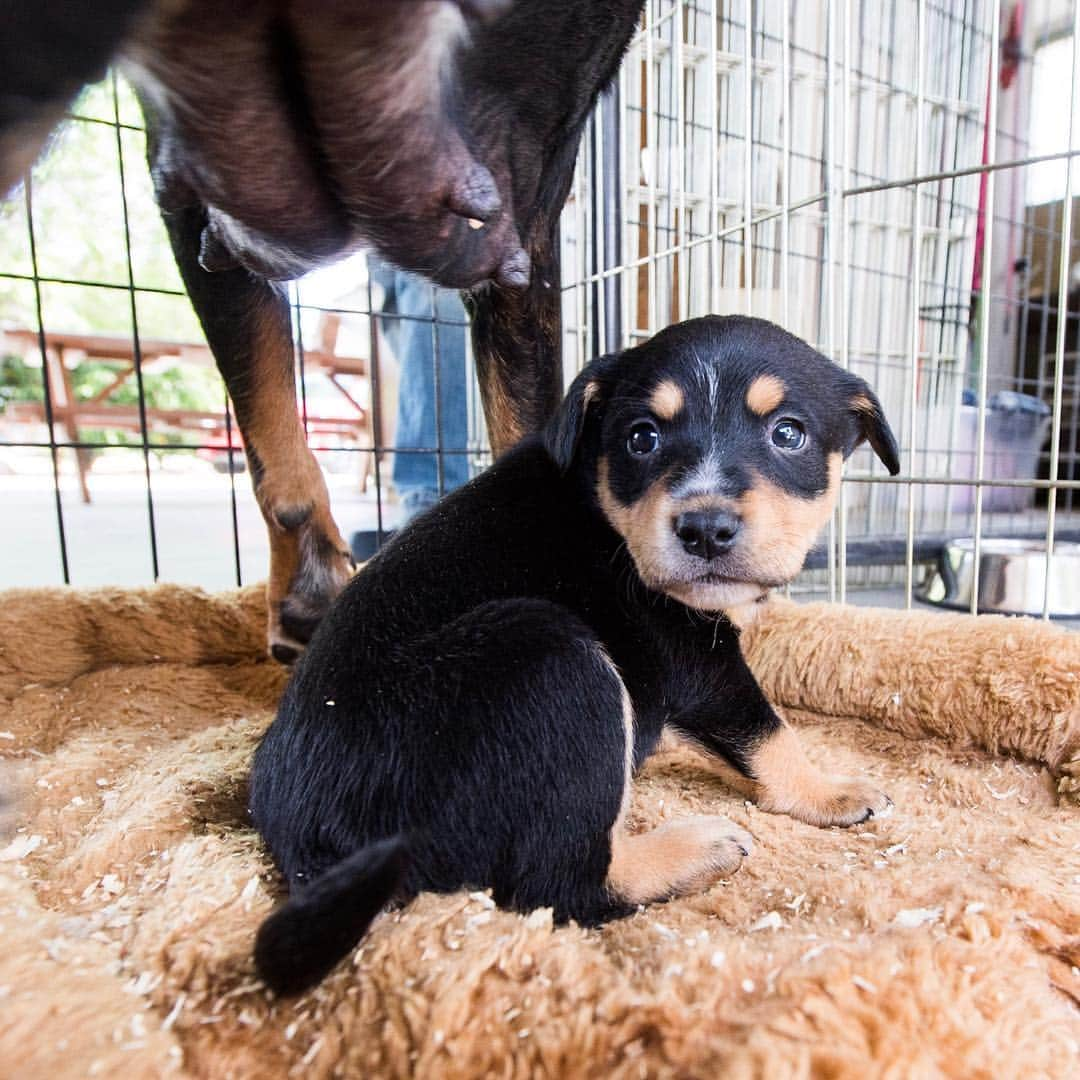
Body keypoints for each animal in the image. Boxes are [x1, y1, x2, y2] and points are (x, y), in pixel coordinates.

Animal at [248, 315, 898, 993]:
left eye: (788, 433)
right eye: (641, 438)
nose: (704, 530)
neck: (602, 503)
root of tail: (312, 852)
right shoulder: (695, 656)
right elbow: (768, 732)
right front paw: (831, 793)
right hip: (554, 659)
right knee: (561, 885)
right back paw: (694, 853)